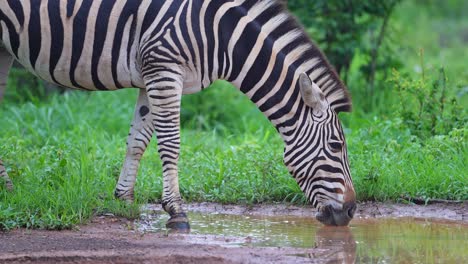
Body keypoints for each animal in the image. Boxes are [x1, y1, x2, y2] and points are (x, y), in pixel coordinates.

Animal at [0, 0, 356, 228]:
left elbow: (138, 140)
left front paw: (124, 198)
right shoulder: (164, 70)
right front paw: (176, 211)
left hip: (3, 48)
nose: (352, 211)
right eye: (337, 146)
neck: (220, 35)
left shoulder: (151, 76)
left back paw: (8, 190)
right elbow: (170, 142)